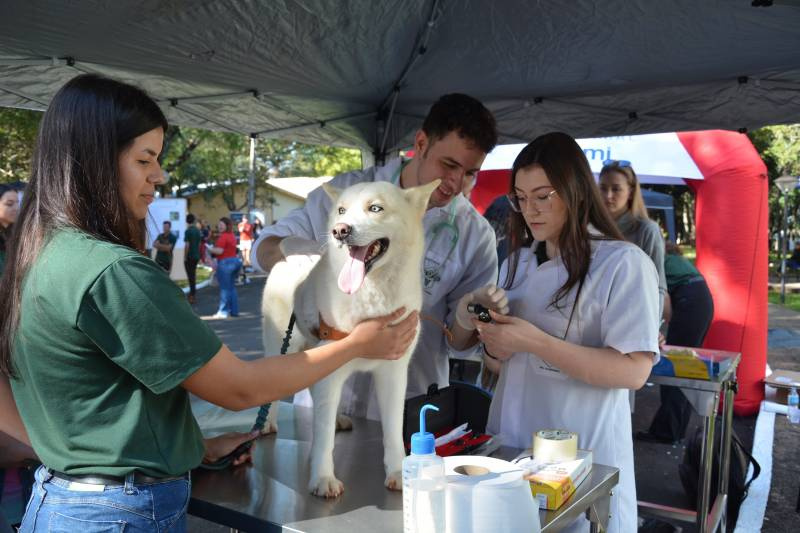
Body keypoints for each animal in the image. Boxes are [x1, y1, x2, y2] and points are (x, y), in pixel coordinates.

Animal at [260, 180, 438, 498]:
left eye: (375, 208)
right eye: (341, 210)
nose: (339, 230)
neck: (372, 298)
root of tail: (292, 254)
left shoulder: (393, 374)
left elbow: (393, 432)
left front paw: (397, 472)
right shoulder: (331, 368)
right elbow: (323, 439)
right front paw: (322, 478)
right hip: (283, 348)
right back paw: (268, 422)